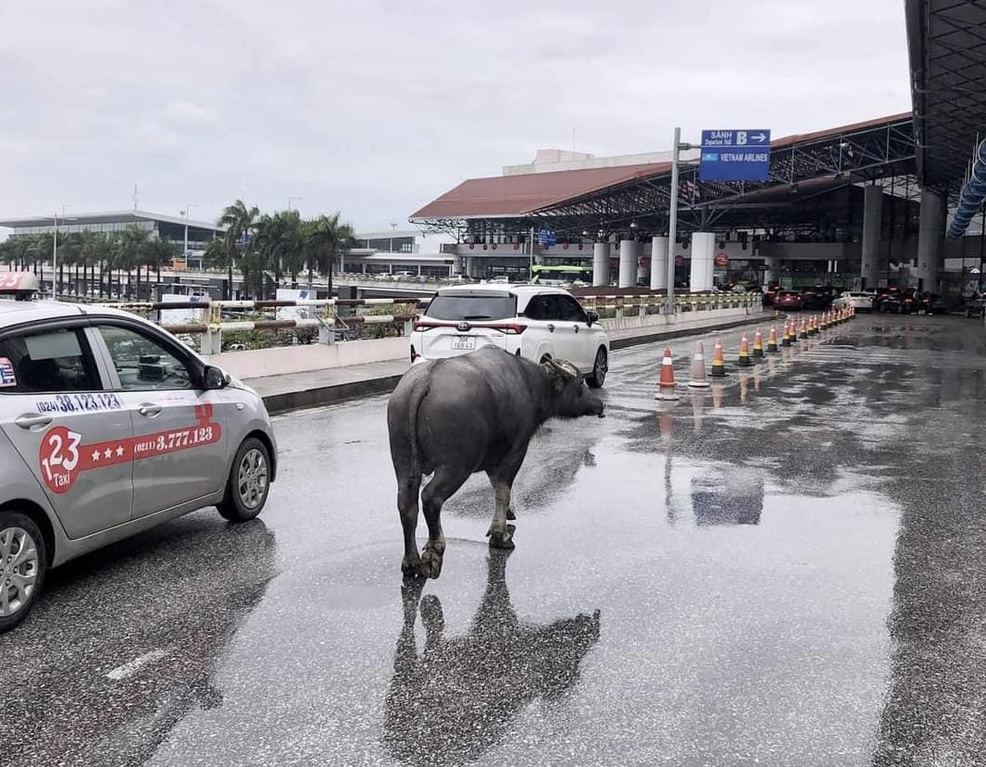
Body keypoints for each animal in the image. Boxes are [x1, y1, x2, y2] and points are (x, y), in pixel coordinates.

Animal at [386, 346, 604, 576]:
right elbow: (503, 490)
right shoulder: (516, 451)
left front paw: (508, 514)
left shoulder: (493, 459)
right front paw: (501, 536)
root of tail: (425, 380)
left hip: (402, 461)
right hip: (455, 466)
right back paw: (435, 548)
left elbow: (496, 486)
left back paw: (411, 561)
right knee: (430, 498)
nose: (599, 404)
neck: (531, 385)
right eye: (581, 382)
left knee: (406, 504)